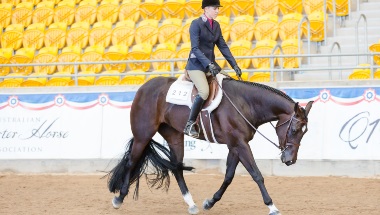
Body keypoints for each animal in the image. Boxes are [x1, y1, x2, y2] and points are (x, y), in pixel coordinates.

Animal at [106, 76, 312, 215]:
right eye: (294, 130)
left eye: (305, 132)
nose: (290, 159)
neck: (244, 103)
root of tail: (144, 87)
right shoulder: (240, 144)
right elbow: (256, 174)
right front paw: (272, 206)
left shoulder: (235, 145)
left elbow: (229, 176)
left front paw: (210, 202)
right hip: (143, 135)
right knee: (131, 162)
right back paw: (119, 198)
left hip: (174, 136)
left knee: (177, 168)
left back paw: (191, 204)